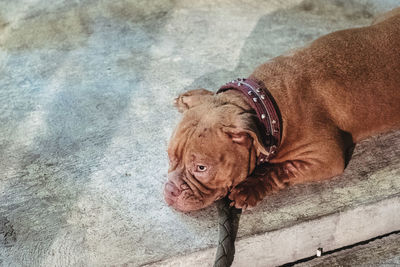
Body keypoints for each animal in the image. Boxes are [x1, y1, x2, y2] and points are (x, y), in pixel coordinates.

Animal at [164, 8, 400, 213]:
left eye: (201, 168)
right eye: (170, 157)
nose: (170, 190)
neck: (259, 102)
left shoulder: (325, 156)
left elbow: (283, 168)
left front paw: (249, 188)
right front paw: (192, 97)